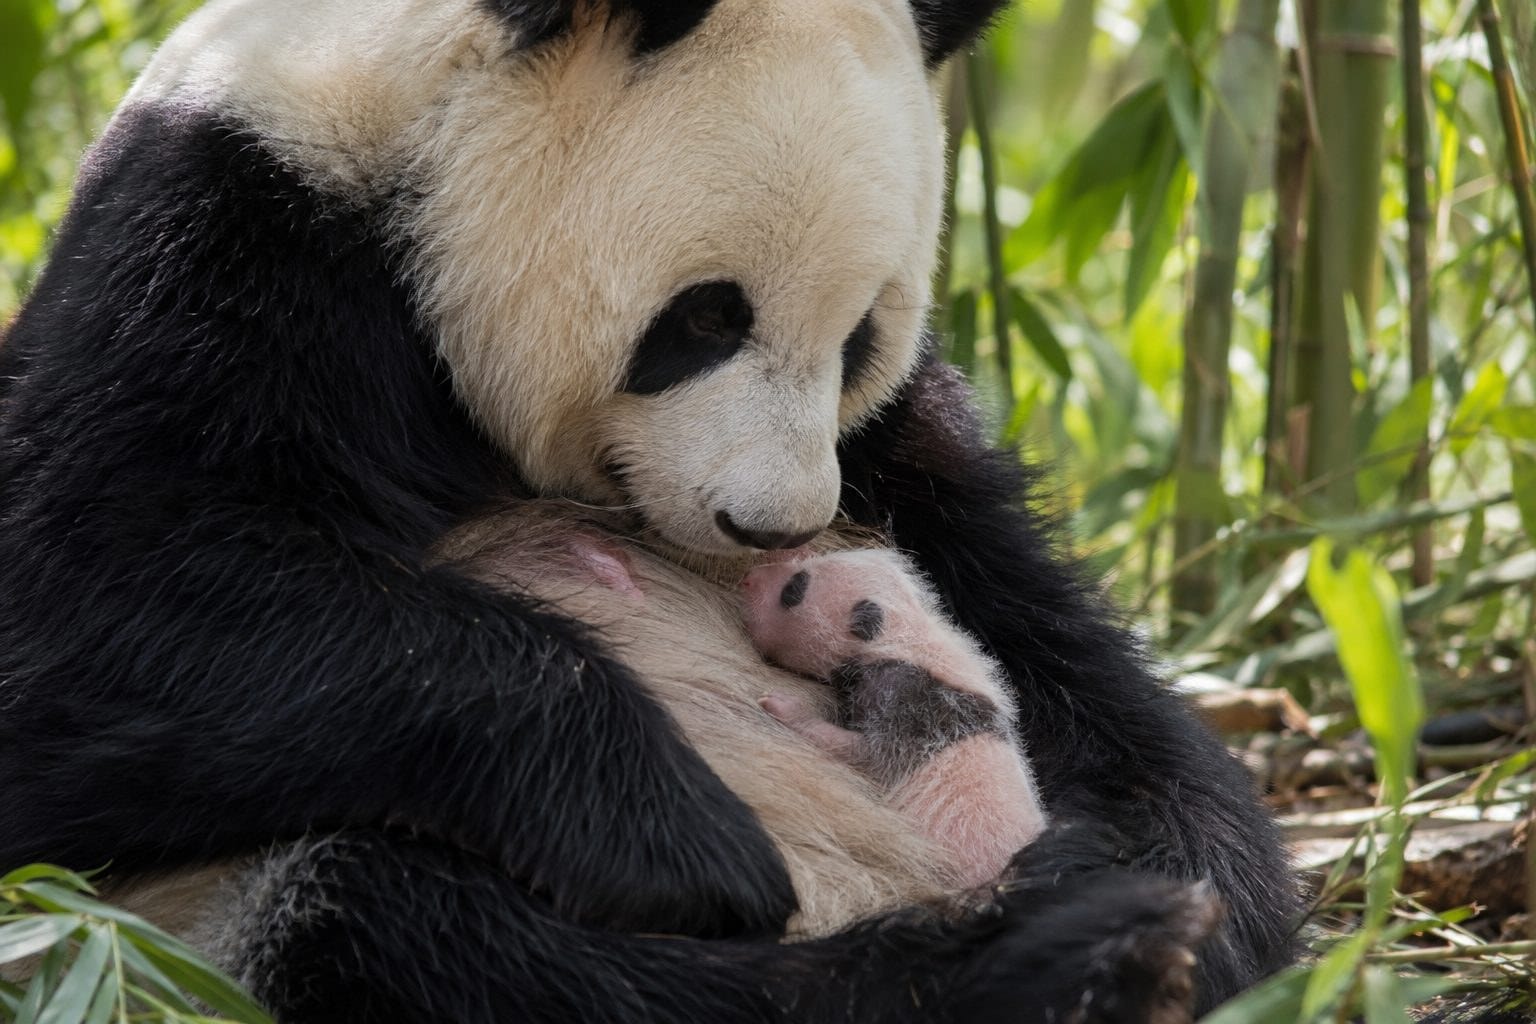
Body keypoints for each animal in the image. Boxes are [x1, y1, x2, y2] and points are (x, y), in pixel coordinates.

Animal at [0, 0, 1300, 1020]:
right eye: (707, 317)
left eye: (862, 333)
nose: (776, 532)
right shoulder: (227, 249)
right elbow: (87, 615)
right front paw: (683, 832)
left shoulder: (891, 447)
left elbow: (1060, 654)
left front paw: (1201, 884)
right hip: (181, 927)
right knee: (414, 932)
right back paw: (1048, 959)